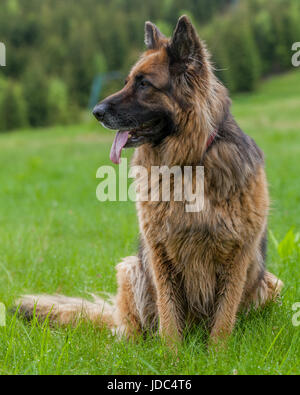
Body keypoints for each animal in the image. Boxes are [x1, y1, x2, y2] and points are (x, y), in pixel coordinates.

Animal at [17, 16, 284, 346]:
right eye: (127, 81)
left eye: (144, 84)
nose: (95, 112)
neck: (188, 164)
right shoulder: (160, 251)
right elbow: (168, 317)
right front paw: (171, 354)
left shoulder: (237, 253)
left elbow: (223, 321)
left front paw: (217, 354)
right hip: (131, 269)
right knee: (130, 328)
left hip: (272, 284)